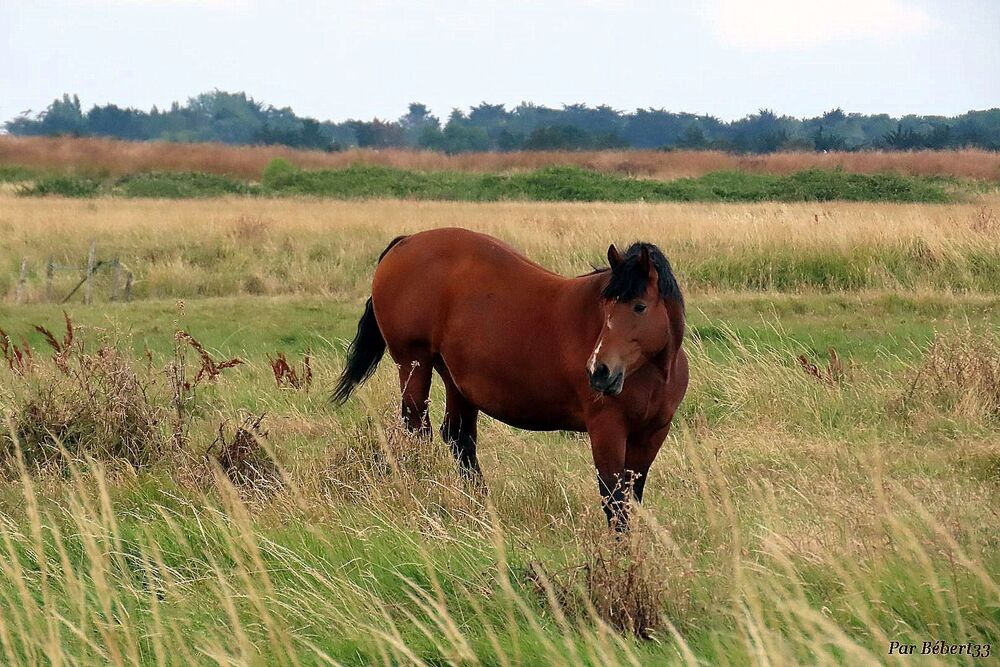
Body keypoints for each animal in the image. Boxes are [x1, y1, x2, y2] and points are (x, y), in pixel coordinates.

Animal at [334, 227, 688, 528]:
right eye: (606, 305)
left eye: (639, 307)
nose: (599, 371)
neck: (652, 373)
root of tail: (406, 242)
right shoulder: (606, 429)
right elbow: (614, 499)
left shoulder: (652, 434)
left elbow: (632, 497)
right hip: (413, 364)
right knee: (417, 430)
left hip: (455, 379)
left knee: (459, 438)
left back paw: (481, 509)